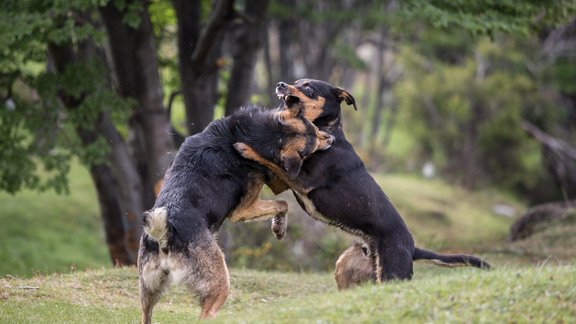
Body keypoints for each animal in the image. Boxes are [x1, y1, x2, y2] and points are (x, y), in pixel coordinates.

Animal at [138, 103, 332, 322]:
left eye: (314, 130)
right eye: (312, 144)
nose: (331, 138)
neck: (264, 134)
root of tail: (165, 233)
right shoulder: (243, 209)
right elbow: (282, 204)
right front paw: (279, 227)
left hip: (149, 290)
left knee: (146, 312)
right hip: (220, 284)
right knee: (206, 314)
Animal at [234, 78, 490, 284]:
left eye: (307, 86)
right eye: (295, 81)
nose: (280, 84)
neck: (327, 132)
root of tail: (412, 248)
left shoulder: (303, 179)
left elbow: (271, 160)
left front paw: (246, 147)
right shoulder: (288, 181)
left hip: (390, 274)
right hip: (345, 266)